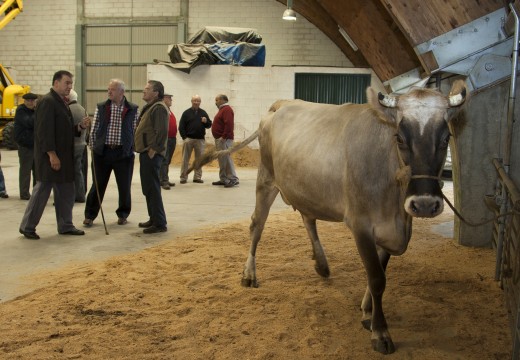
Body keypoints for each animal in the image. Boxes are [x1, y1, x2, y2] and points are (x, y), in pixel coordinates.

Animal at [192, 81, 468, 354]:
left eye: (446, 138)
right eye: (399, 137)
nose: (424, 204)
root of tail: (282, 103)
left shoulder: (389, 231)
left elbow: (379, 271)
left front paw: (367, 311)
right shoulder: (360, 224)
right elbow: (377, 278)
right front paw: (380, 332)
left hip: (305, 188)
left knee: (308, 219)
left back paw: (321, 264)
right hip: (266, 178)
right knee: (256, 225)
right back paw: (249, 274)